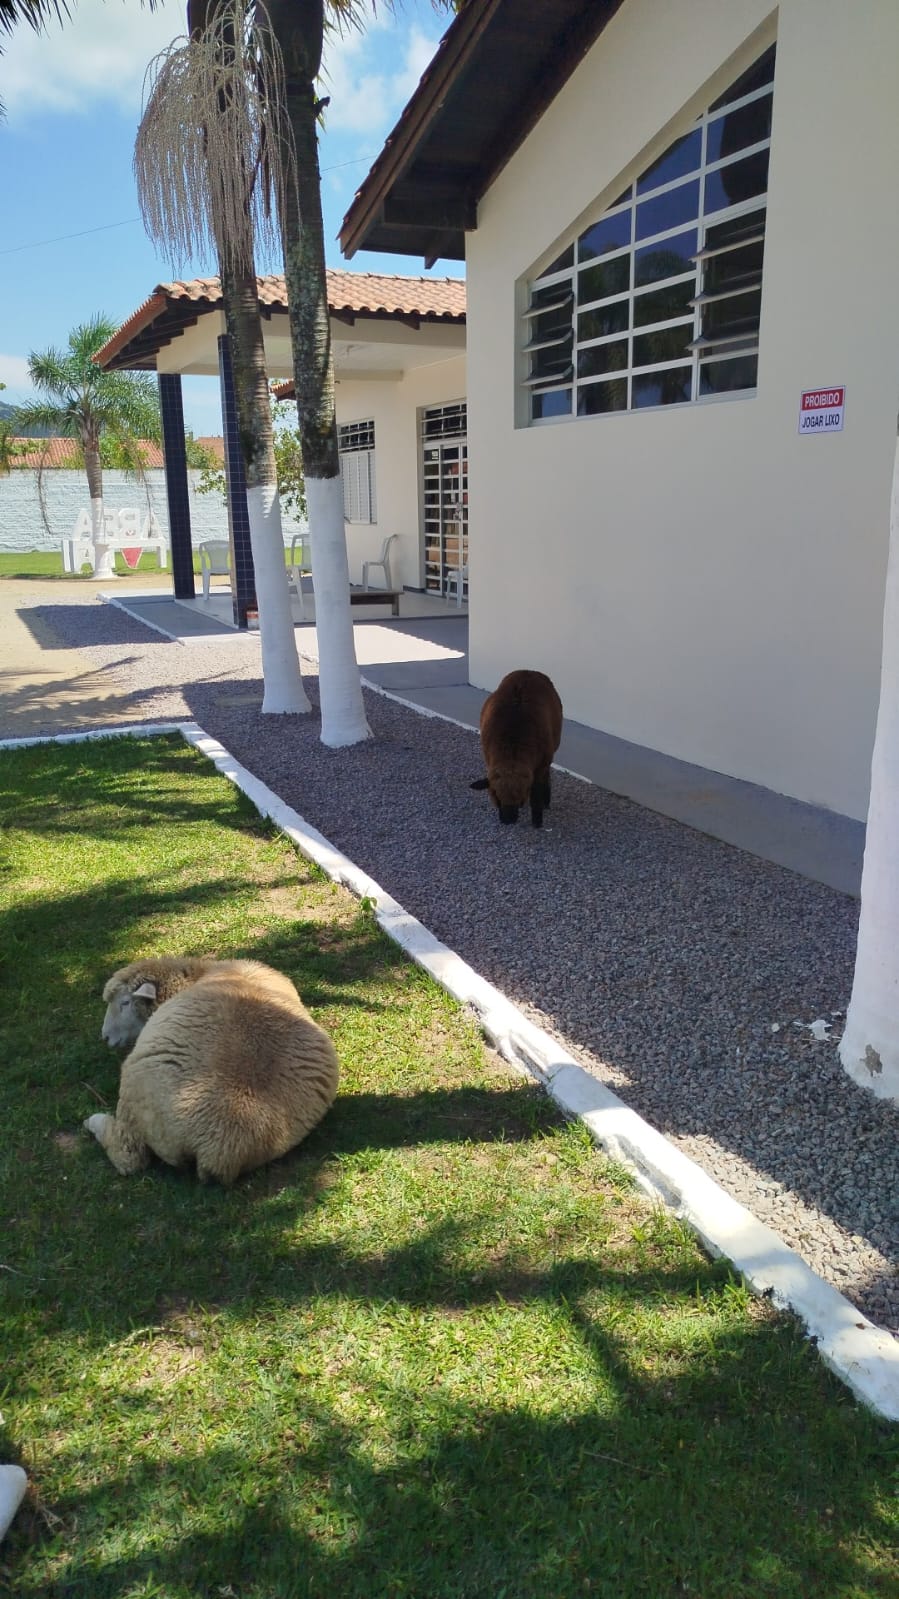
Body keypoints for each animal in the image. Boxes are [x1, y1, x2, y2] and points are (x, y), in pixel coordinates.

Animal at [84, 956, 339, 1185]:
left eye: (125, 1003)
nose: (105, 1037)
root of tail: (218, 1149)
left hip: (133, 1098)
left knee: (129, 1156)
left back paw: (93, 1122)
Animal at [470, 668, 563, 827]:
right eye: (496, 796)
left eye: (520, 797)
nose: (508, 820)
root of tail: (528, 671)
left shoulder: (542, 764)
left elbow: (536, 795)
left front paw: (537, 821)